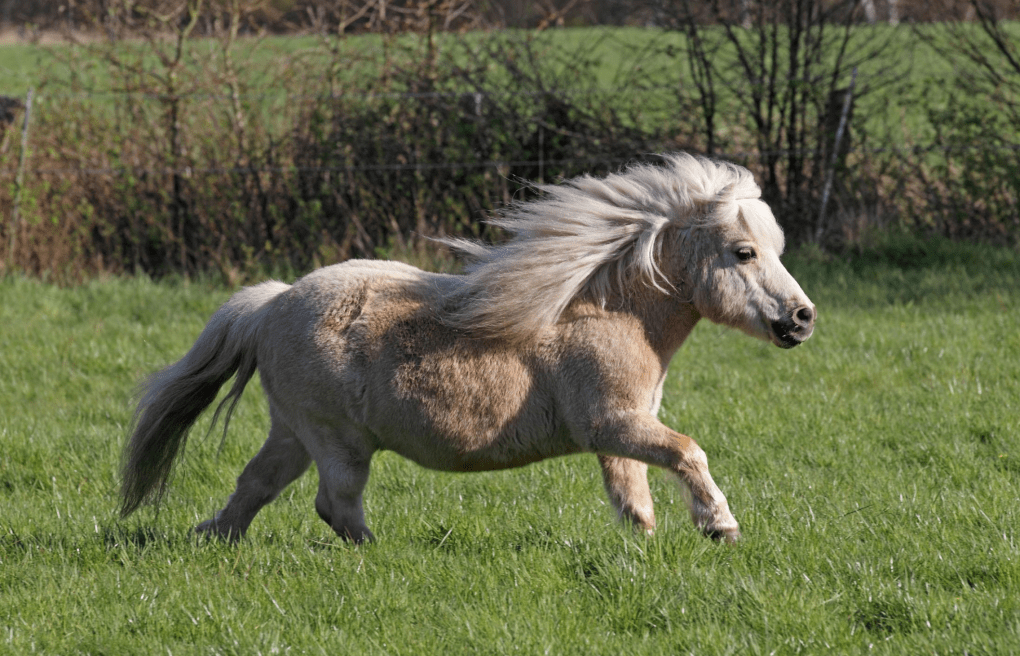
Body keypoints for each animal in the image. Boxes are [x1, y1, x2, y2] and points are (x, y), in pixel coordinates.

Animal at [121, 153, 811, 542]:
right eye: (743, 252)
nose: (801, 320)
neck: (608, 313)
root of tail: (272, 303)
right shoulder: (615, 423)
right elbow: (688, 454)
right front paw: (721, 526)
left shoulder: (618, 432)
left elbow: (633, 502)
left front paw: (643, 551)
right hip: (337, 441)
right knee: (334, 505)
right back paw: (381, 554)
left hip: (293, 432)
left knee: (254, 487)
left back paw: (209, 540)